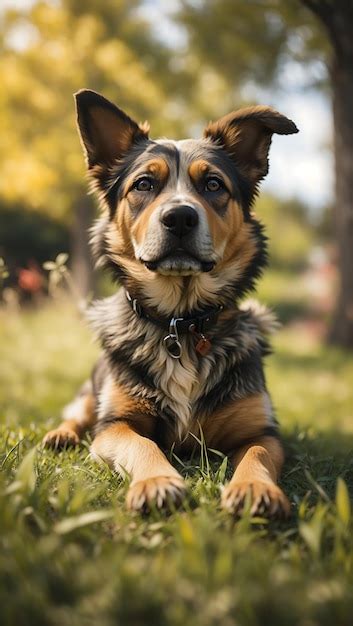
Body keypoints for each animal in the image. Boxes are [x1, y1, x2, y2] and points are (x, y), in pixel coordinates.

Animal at [43, 89, 296, 516]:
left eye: (213, 184)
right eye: (144, 184)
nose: (179, 217)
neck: (181, 322)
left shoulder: (262, 428)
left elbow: (258, 454)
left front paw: (253, 488)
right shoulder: (115, 424)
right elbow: (141, 443)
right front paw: (156, 482)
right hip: (91, 391)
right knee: (76, 415)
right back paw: (60, 436)